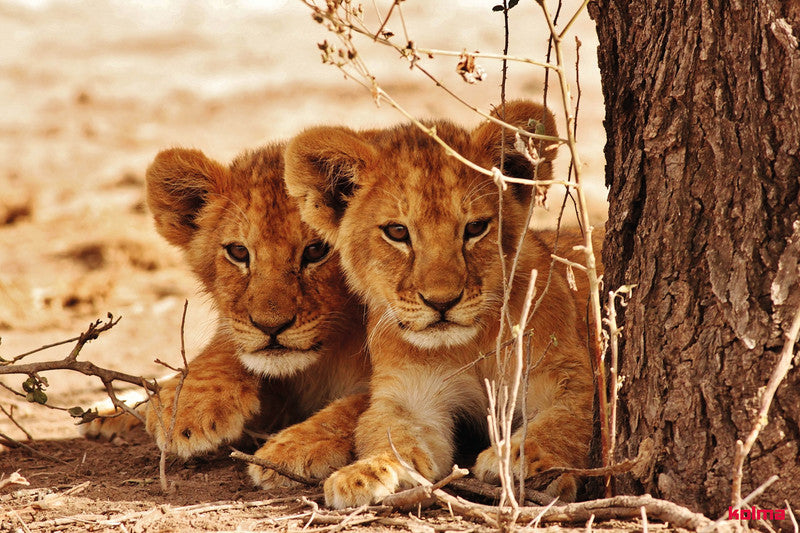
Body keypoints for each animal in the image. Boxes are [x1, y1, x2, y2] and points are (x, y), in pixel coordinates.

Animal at [82, 144, 371, 487]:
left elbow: (369, 401)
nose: (271, 327)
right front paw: (187, 405)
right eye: (239, 252)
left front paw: (294, 448)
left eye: (316, 250)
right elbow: (224, 347)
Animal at [283, 100, 599, 508]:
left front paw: (518, 459)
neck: (469, 346)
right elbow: (391, 434)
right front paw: (365, 473)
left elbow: (564, 421)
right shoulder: (409, 396)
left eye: (475, 228)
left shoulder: (570, 376)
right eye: (397, 232)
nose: (442, 302)